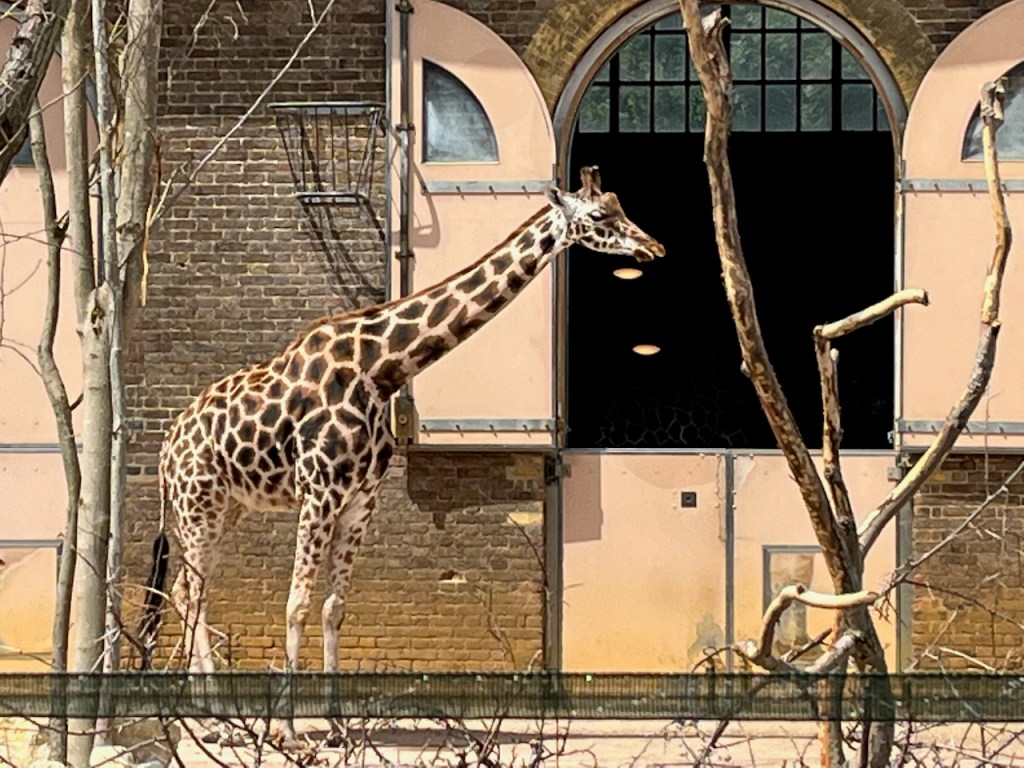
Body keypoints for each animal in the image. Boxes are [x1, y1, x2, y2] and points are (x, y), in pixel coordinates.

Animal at [138, 166, 664, 730]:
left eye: (621, 205)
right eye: (600, 215)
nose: (653, 247)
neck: (381, 369)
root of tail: (166, 448)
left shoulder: (360, 499)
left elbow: (334, 607)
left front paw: (336, 726)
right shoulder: (319, 491)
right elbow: (296, 602)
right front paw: (288, 730)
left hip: (226, 508)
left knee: (186, 589)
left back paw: (205, 715)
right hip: (197, 507)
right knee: (193, 593)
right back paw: (212, 716)